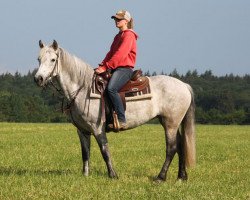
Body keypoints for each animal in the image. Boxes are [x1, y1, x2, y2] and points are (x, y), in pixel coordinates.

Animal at [34, 39, 196, 182]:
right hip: (170, 122)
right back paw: (181, 177)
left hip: (170, 124)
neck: (83, 89)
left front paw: (113, 175)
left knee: (171, 148)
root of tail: (184, 85)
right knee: (181, 146)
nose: (38, 79)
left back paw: (160, 177)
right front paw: (85, 175)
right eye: (39, 59)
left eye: (53, 60)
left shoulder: (97, 128)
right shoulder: (82, 130)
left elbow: (104, 150)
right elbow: (85, 153)